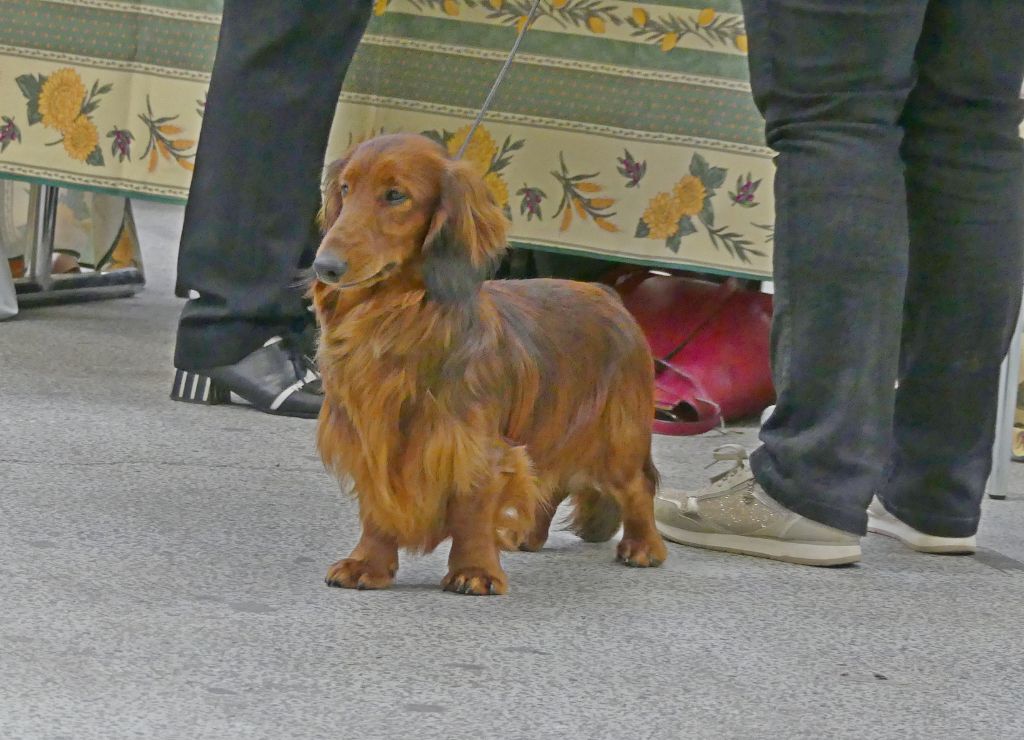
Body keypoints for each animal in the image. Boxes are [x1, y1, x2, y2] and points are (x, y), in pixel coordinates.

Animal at [309, 133, 663, 597]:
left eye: (396, 195)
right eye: (346, 189)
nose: (324, 267)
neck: (398, 318)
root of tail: (609, 294)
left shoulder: (474, 446)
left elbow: (473, 508)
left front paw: (475, 570)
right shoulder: (373, 438)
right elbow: (379, 505)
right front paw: (367, 563)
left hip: (618, 437)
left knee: (639, 486)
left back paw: (643, 546)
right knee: (550, 483)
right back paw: (528, 535)